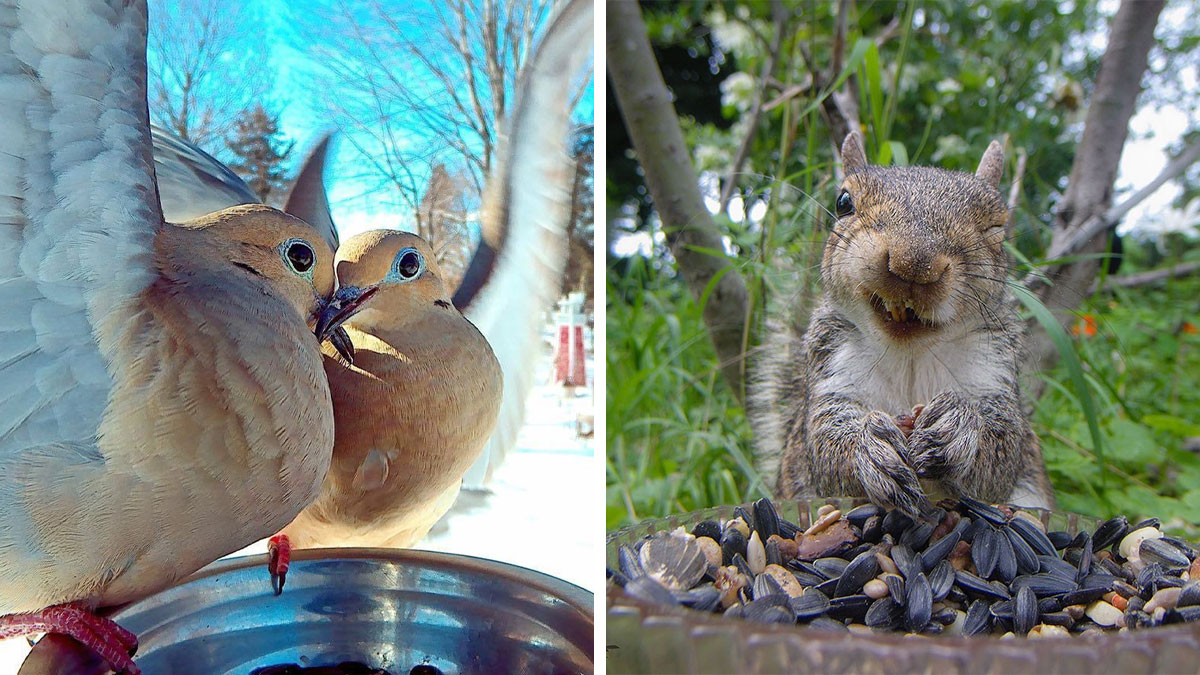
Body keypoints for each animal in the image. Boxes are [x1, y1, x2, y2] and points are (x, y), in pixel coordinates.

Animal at [749, 133, 1055, 517]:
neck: (910, 352)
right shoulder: (832, 370)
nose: (913, 262)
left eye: (997, 227)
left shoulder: (994, 372)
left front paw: (957, 426)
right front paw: (870, 446)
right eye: (843, 202)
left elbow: (1000, 455)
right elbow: (825, 448)